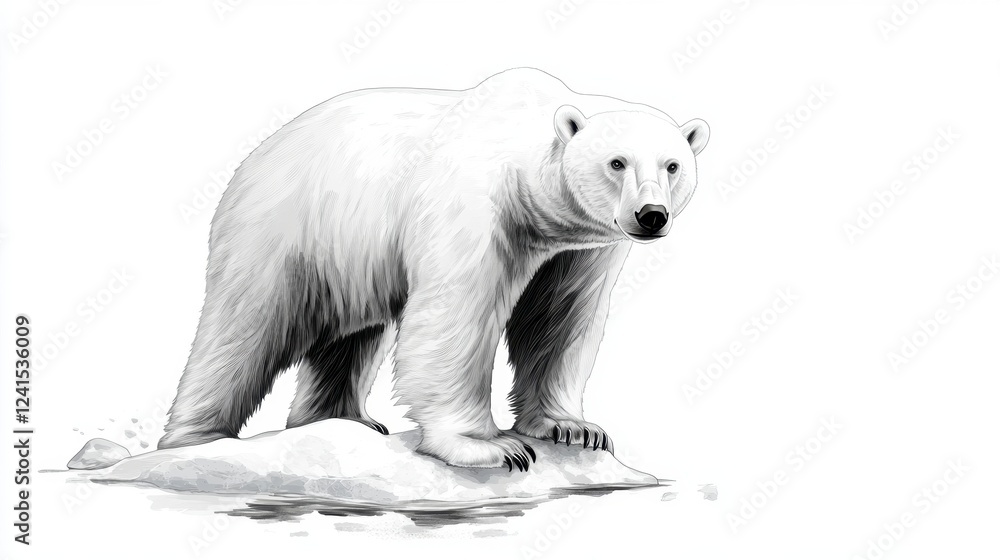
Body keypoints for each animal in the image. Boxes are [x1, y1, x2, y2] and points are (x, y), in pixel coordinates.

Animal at [158, 68, 709, 471]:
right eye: (617, 162)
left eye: (672, 165)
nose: (651, 215)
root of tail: (254, 157)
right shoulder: (474, 205)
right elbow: (456, 315)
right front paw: (490, 446)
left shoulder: (580, 248)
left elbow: (559, 320)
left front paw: (573, 427)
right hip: (285, 229)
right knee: (245, 327)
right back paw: (197, 438)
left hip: (350, 259)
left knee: (352, 336)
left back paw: (343, 419)